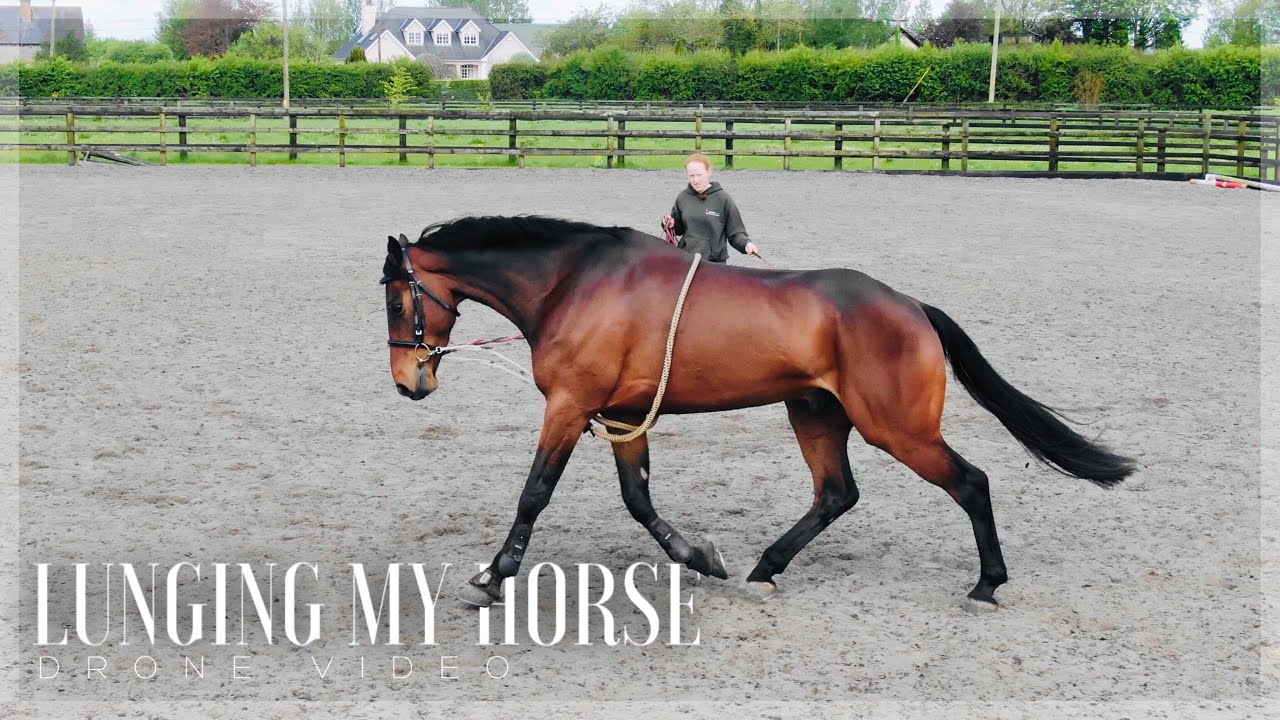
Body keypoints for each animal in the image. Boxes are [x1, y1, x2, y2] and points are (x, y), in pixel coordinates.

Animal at [379, 215, 1135, 611]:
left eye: (393, 298)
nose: (408, 383)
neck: (575, 283)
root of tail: (910, 305)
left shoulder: (571, 407)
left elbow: (535, 493)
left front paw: (494, 574)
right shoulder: (623, 414)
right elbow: (639, 500)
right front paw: (701, 557)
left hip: (898, 428)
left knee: (971, 483)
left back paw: (987, 582)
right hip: (816, 413)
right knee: (835, 493)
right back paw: (765, 566)